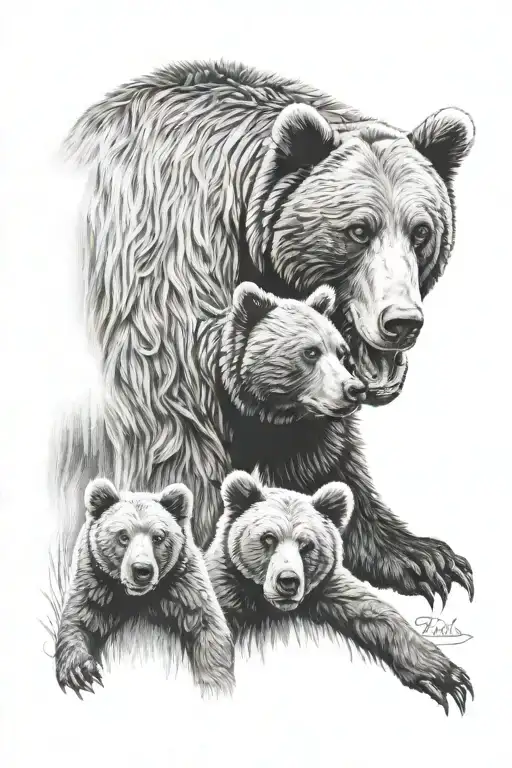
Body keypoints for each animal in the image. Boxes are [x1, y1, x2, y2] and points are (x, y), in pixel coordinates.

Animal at [55, 478, 235, 699]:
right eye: (123, 536)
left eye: (158, 537)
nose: (142, 570)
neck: (138, 598)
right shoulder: (96, 583)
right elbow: (79, 619)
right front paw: (80, 673)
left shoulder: (183, 586)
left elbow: (207, 625)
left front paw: (216, 682)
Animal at [205, 470, 474, 716]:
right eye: (268, 538)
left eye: (307, 544)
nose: (288, 581)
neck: (266, 605)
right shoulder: (225, 592)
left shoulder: (327, 591)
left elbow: (374, 613)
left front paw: (445, 676)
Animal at [209, 281, 472, 607]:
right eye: (310, 351)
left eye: (342, 353)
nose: (354, 389)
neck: (262, 416)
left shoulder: (307, 440)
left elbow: (337, 486)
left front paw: (431, 561)